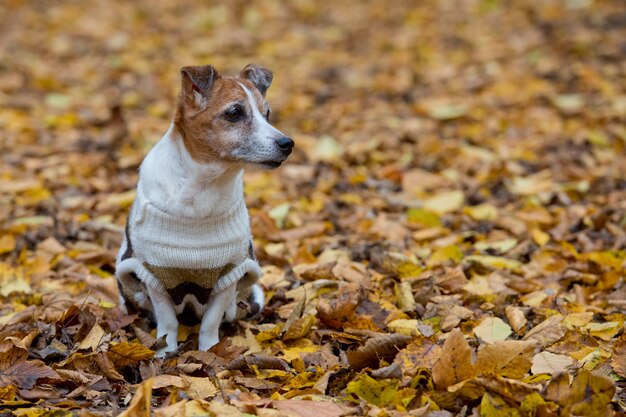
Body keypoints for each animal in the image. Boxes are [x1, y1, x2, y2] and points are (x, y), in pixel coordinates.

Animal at [115, 64, 292, 354]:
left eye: (267, 114)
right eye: (234, 113)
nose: (288, 144)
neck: (203, 187)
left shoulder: (229, 276)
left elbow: (211, 321)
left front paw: (209, 351)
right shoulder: (153, 276)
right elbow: (167, 320)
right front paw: (166, 350)